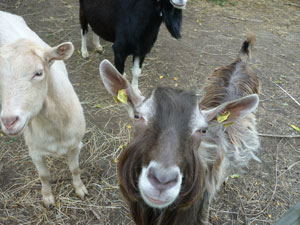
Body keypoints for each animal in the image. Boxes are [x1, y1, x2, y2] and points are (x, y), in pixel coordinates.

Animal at [0, 11, 88, 207]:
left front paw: (80, 190)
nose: (9, 121)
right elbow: (44, 175)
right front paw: (48, 198)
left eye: (39, 73)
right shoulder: (35, 151)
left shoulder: (76, 144)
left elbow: (75, 168)